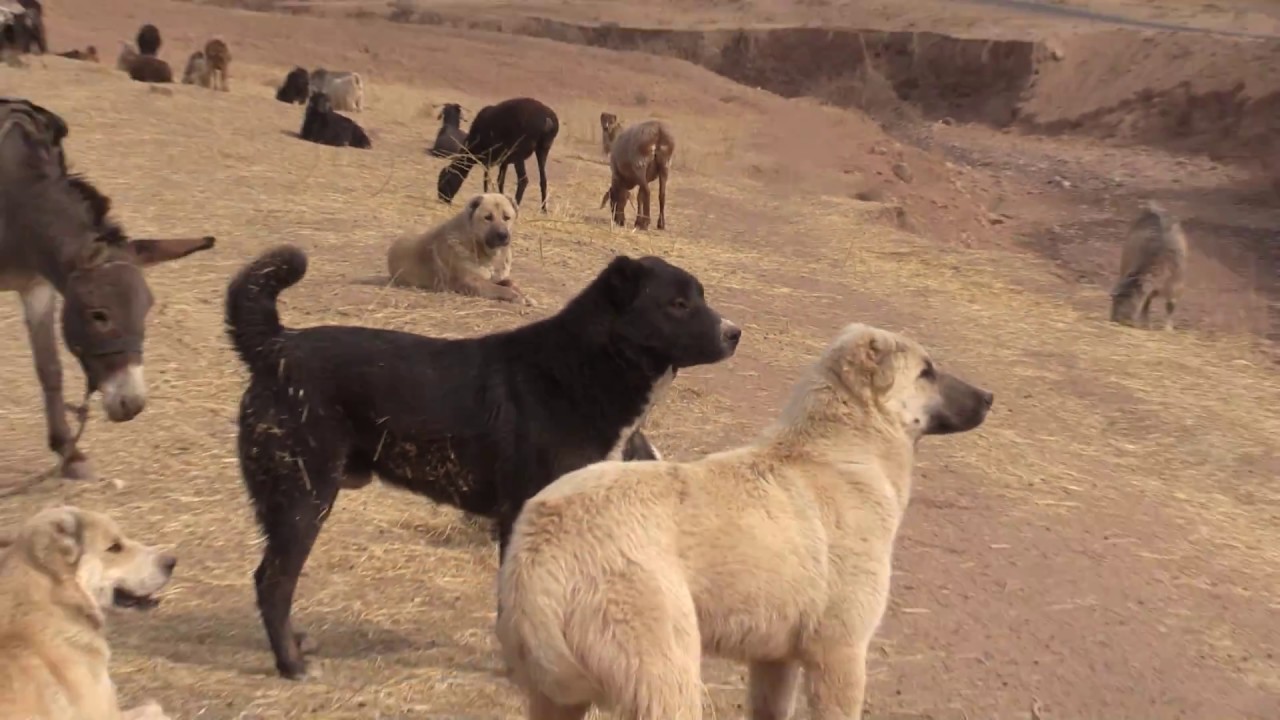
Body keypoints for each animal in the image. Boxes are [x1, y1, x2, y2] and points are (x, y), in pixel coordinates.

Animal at [221, 243, 742, 676]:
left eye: (700, 297)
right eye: (678, 304)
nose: (735, 333)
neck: (584, 369)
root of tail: (277, 345)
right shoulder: (522, 518)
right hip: (304, 501)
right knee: (273, 583)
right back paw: (290, 663)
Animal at [386, 190, 532, 302]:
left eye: (507, 217)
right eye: (488, 217)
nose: (503, 235)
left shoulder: (497, 278)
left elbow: (510, 282)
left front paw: (524, 295)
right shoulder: (471, 283)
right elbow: (499, 289)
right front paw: (517, 296)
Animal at [494, 322, 993, 712]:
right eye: (926, 372)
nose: (989, 397)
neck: (843, 450)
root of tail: (540, 548)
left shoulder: (776, 661)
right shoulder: (841, 652)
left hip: (556, 698)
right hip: (665, 677)